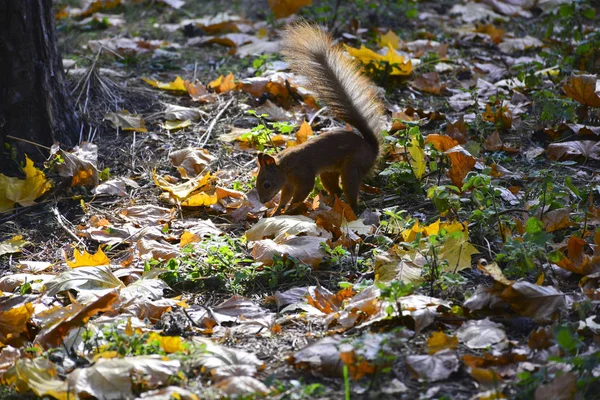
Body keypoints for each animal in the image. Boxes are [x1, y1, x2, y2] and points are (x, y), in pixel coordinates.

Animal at [255, 21, 382, 216]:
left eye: (267, 184)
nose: (262, 201)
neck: (284, 167)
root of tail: (372, 149)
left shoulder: (303, 175)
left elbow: (301, 192)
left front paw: (290, 210)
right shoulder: (288, 183)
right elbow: (285, 196)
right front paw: (277, 211)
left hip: (352, 167)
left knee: (350, 192)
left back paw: (350, 210)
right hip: (328, 173)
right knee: (336, 190)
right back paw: (331, 203)